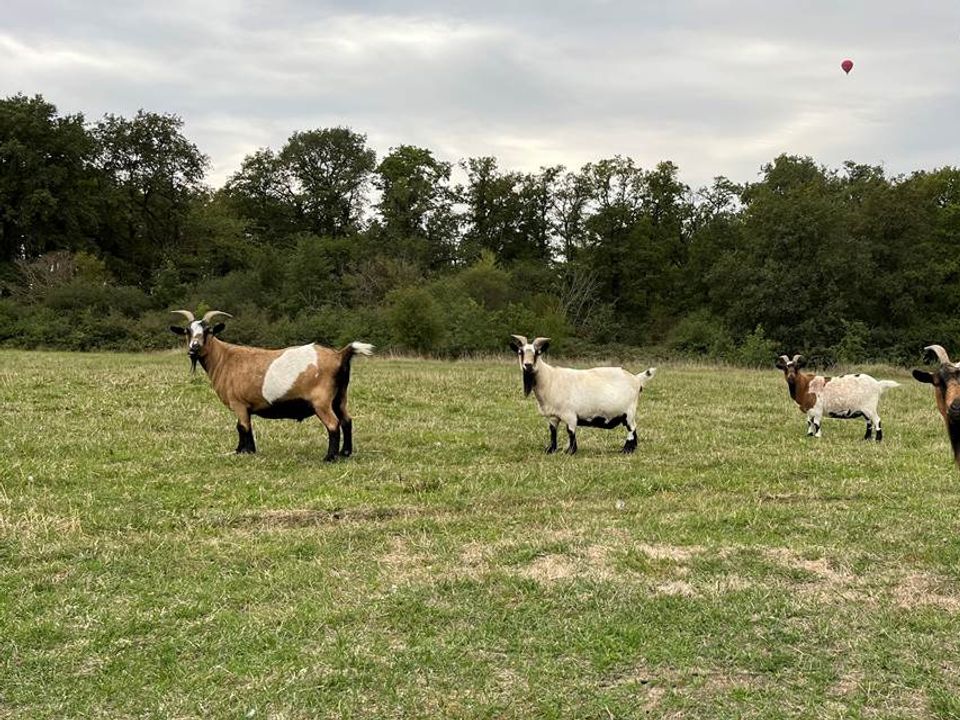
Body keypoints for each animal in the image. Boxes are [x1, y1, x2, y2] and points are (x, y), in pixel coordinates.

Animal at [169, 310, 372, 462]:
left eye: (209, 331)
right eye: (187, 331)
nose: (194, 347)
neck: (224, 359)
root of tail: (340, 355)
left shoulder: (239, 404)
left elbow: (242, 427)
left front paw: (245, 451)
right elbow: (242, 426)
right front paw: (242, 450)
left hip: (321, 401)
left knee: (333, 424)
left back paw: (330, 457)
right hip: (340, 397)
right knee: (346, 420)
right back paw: (345, 453)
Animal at [506, 334, 656, 456]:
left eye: (537, 353)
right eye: (520, 352)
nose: (528, 365)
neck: (550, 378)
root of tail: (637, 379)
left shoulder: (570, 414)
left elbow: (570, 432)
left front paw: (570, 451)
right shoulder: (553, 416)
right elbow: (553, 432)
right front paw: (551, 450)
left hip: (629, 411)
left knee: (632, 429)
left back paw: (626, 450)